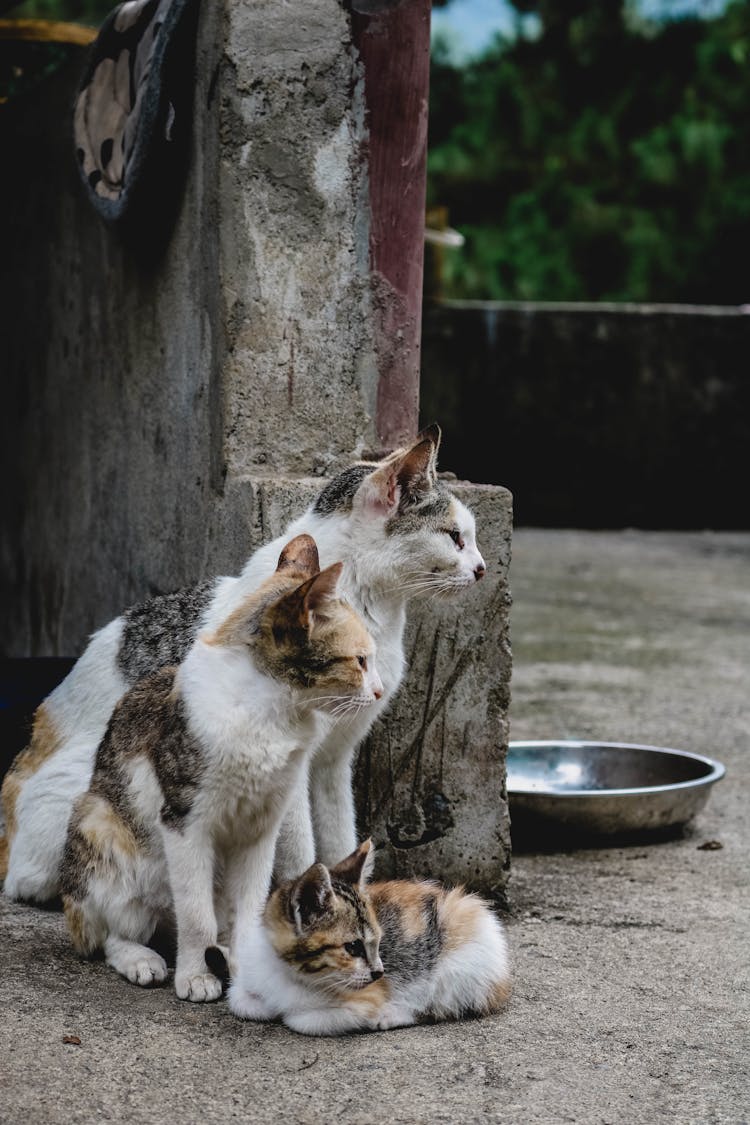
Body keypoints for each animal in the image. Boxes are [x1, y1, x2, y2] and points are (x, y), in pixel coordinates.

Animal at [2, 425, 488, 900]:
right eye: (455, 537)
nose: (483, 568)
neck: (372, 610)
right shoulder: (286, 767)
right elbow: (300, 850)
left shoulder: (334, 759)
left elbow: (340, 838)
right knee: (44, 881)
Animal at [58, 535, 382, 1003]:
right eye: (359, 661)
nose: (380, 691)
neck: (268, 713)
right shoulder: (185, 822)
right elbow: (197, 916)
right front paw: (195, 976)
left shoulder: (262, 827)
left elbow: (247, 909)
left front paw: (246, 971)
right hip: (98, 821)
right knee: (111, 932)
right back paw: (142, 959)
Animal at [227, 841, 510, 1030]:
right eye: (352, 947)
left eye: (377, 943)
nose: (379, 972)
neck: (287, 973)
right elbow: (237, 998)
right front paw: (262, 1005)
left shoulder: (366, 998)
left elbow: (302, 1020)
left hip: (461, 963)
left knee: (438, 1004)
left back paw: (390, 1015)